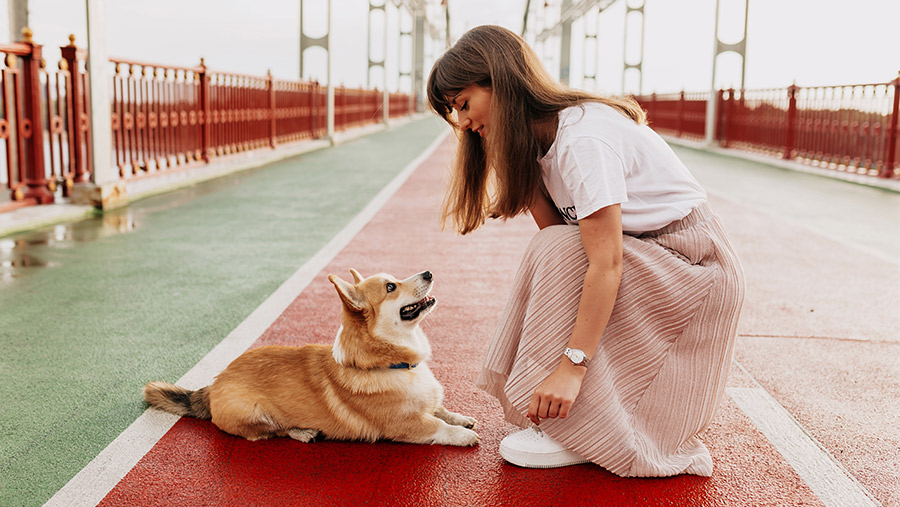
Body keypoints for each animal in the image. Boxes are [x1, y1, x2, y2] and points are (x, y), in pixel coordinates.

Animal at [142, 272, 478, 446]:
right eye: (391, 287)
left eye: (393, 279)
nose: (429, 273)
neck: (393, 364)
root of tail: (213, 385)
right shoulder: (407, 425)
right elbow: (438, 426)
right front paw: (463, 435)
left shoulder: (428, 404)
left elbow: (442, 411)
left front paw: (463, 418)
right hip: (256, 413)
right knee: (272, 431)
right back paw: (304, 431)